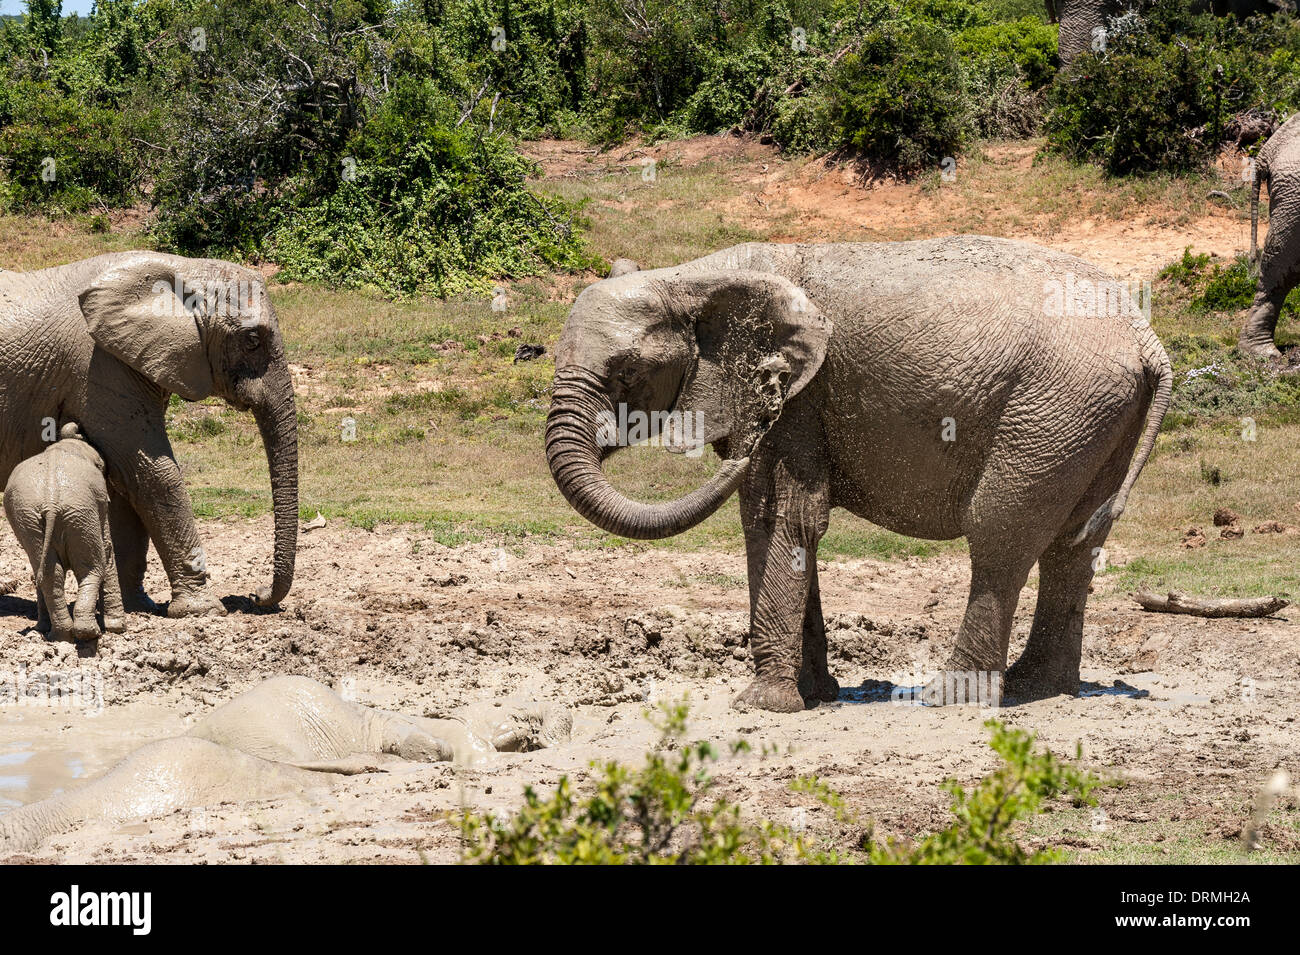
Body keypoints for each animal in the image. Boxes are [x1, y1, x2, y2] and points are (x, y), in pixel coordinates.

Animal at [3, 422, 125, 640]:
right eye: (102, 467)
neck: (67, 446)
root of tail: (51, 503)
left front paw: (42, 628)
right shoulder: (100, 502)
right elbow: (107, 548)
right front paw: (117, 628)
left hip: (30, 518)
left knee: (48, 572)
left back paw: (60, 635)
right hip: (81, 512)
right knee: (92, 567)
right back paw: (89, 633)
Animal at [545, 237, 1172, 712]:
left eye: (626, 373)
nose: (736, 454)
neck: (693, 277)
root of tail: (1148, 340)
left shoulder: (797, 400)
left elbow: (784, 517)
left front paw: (764, 704)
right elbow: (777, 525)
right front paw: (813, 694)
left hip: (1055, 409)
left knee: (1000, 535)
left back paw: (952, 698)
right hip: (1096, 416)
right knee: (1075, 543)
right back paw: (1039, 686)